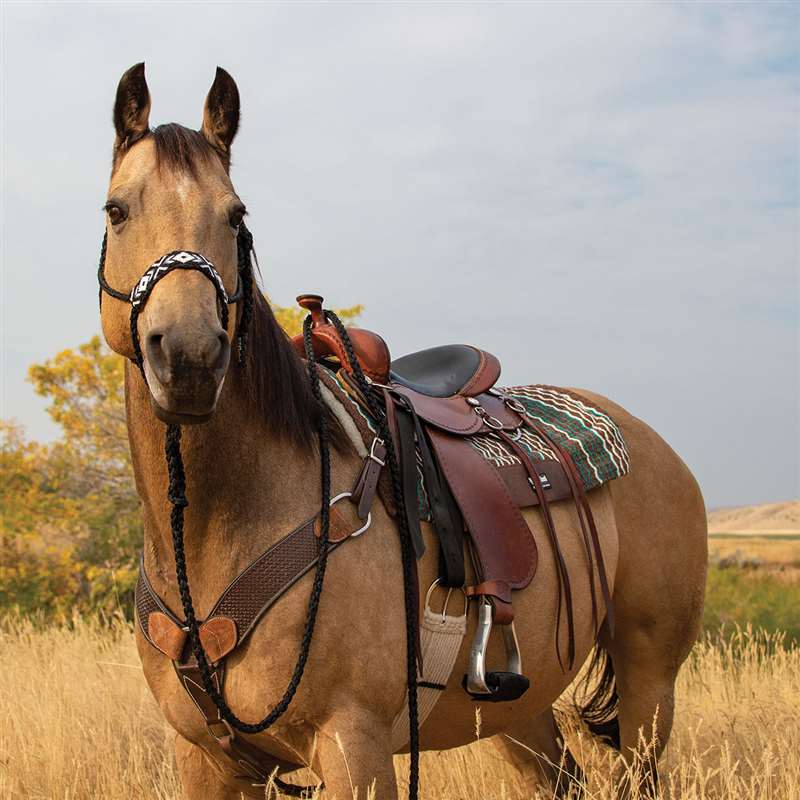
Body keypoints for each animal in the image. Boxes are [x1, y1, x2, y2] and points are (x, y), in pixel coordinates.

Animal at [98, 64, 708, 800]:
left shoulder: (353, 744)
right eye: (117, 210)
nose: (188, 357)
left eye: (236, 215)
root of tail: (649, 440)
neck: (223, 528)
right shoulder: (205, 759)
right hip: (516, 710)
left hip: (651, 680)